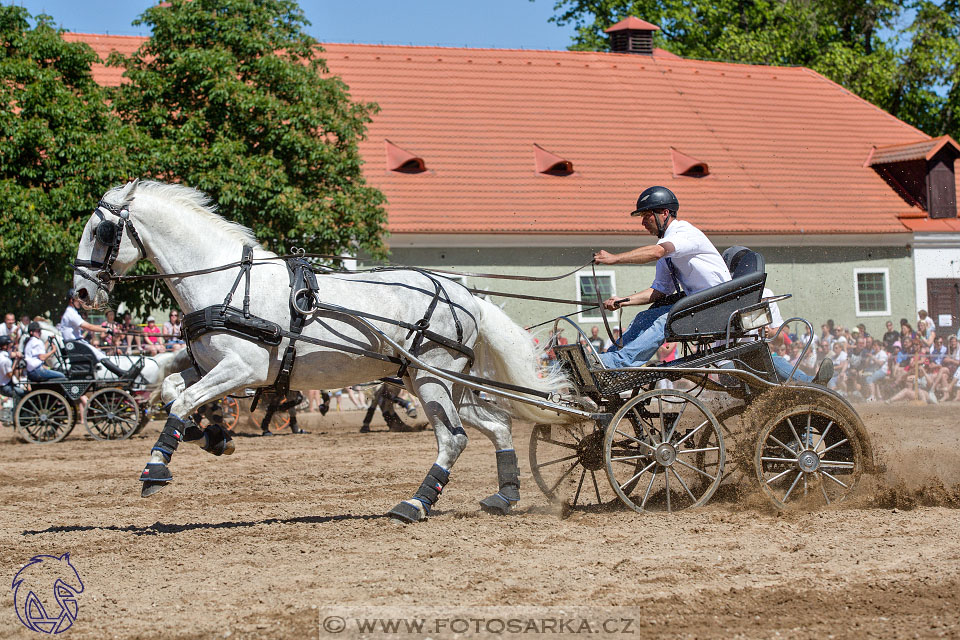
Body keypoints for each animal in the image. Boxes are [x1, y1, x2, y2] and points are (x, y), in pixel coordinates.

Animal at [77, 179, 568, 520]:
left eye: (102, 231)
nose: (81, 293)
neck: (228, 283)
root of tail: (467, 296)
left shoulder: (245, 367)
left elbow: (182, 401)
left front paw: (156, 469)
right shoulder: (214, 366)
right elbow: (171, 392)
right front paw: (214, 437)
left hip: (431, 378)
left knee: (454, 438)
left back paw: (415, 503)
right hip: (434, 380)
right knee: (497, 425)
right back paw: (504, 495)